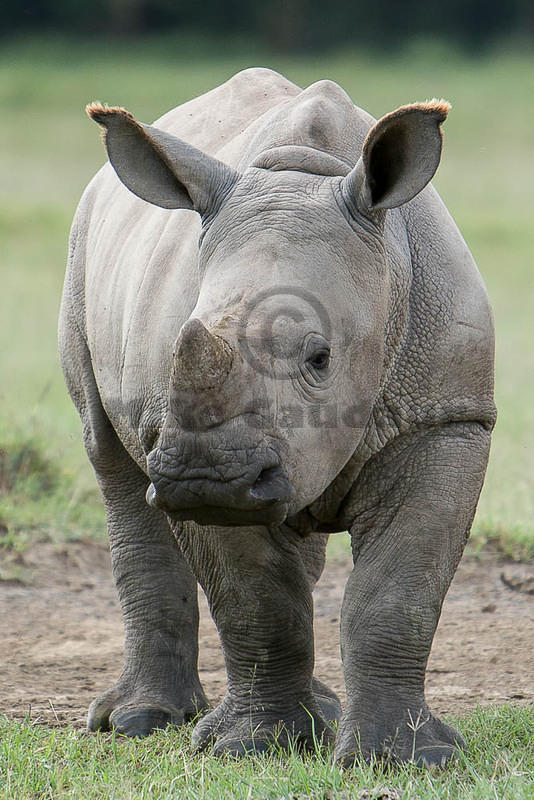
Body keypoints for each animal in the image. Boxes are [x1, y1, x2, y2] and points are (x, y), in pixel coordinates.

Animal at [59, 70, 498, 768]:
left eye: (320, 357)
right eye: (178, 343)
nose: (206, 478)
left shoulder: (446, 419)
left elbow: (399, 592)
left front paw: (401, 757)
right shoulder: (184, 450)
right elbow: (255, 600)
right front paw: (252, 747)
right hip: (81, 248)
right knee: (110, 457)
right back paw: (138, 721)